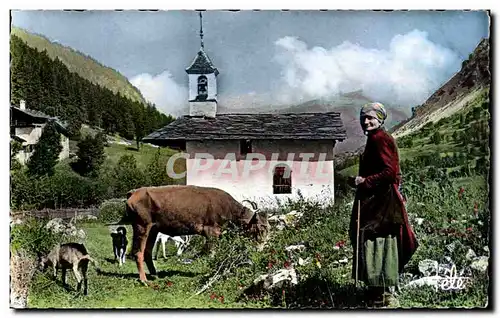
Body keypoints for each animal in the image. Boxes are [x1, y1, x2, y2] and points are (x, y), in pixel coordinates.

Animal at [115, 184, 270, 284]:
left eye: (268, 228)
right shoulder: (212, 232)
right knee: (138, 252)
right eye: (260, 228)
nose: (262, 248)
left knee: (147, 252)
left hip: (153, 229)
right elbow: (210, 253)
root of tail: (135, 192)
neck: (227, 208)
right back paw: (143, 279)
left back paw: (155, 274)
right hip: (142, 226)